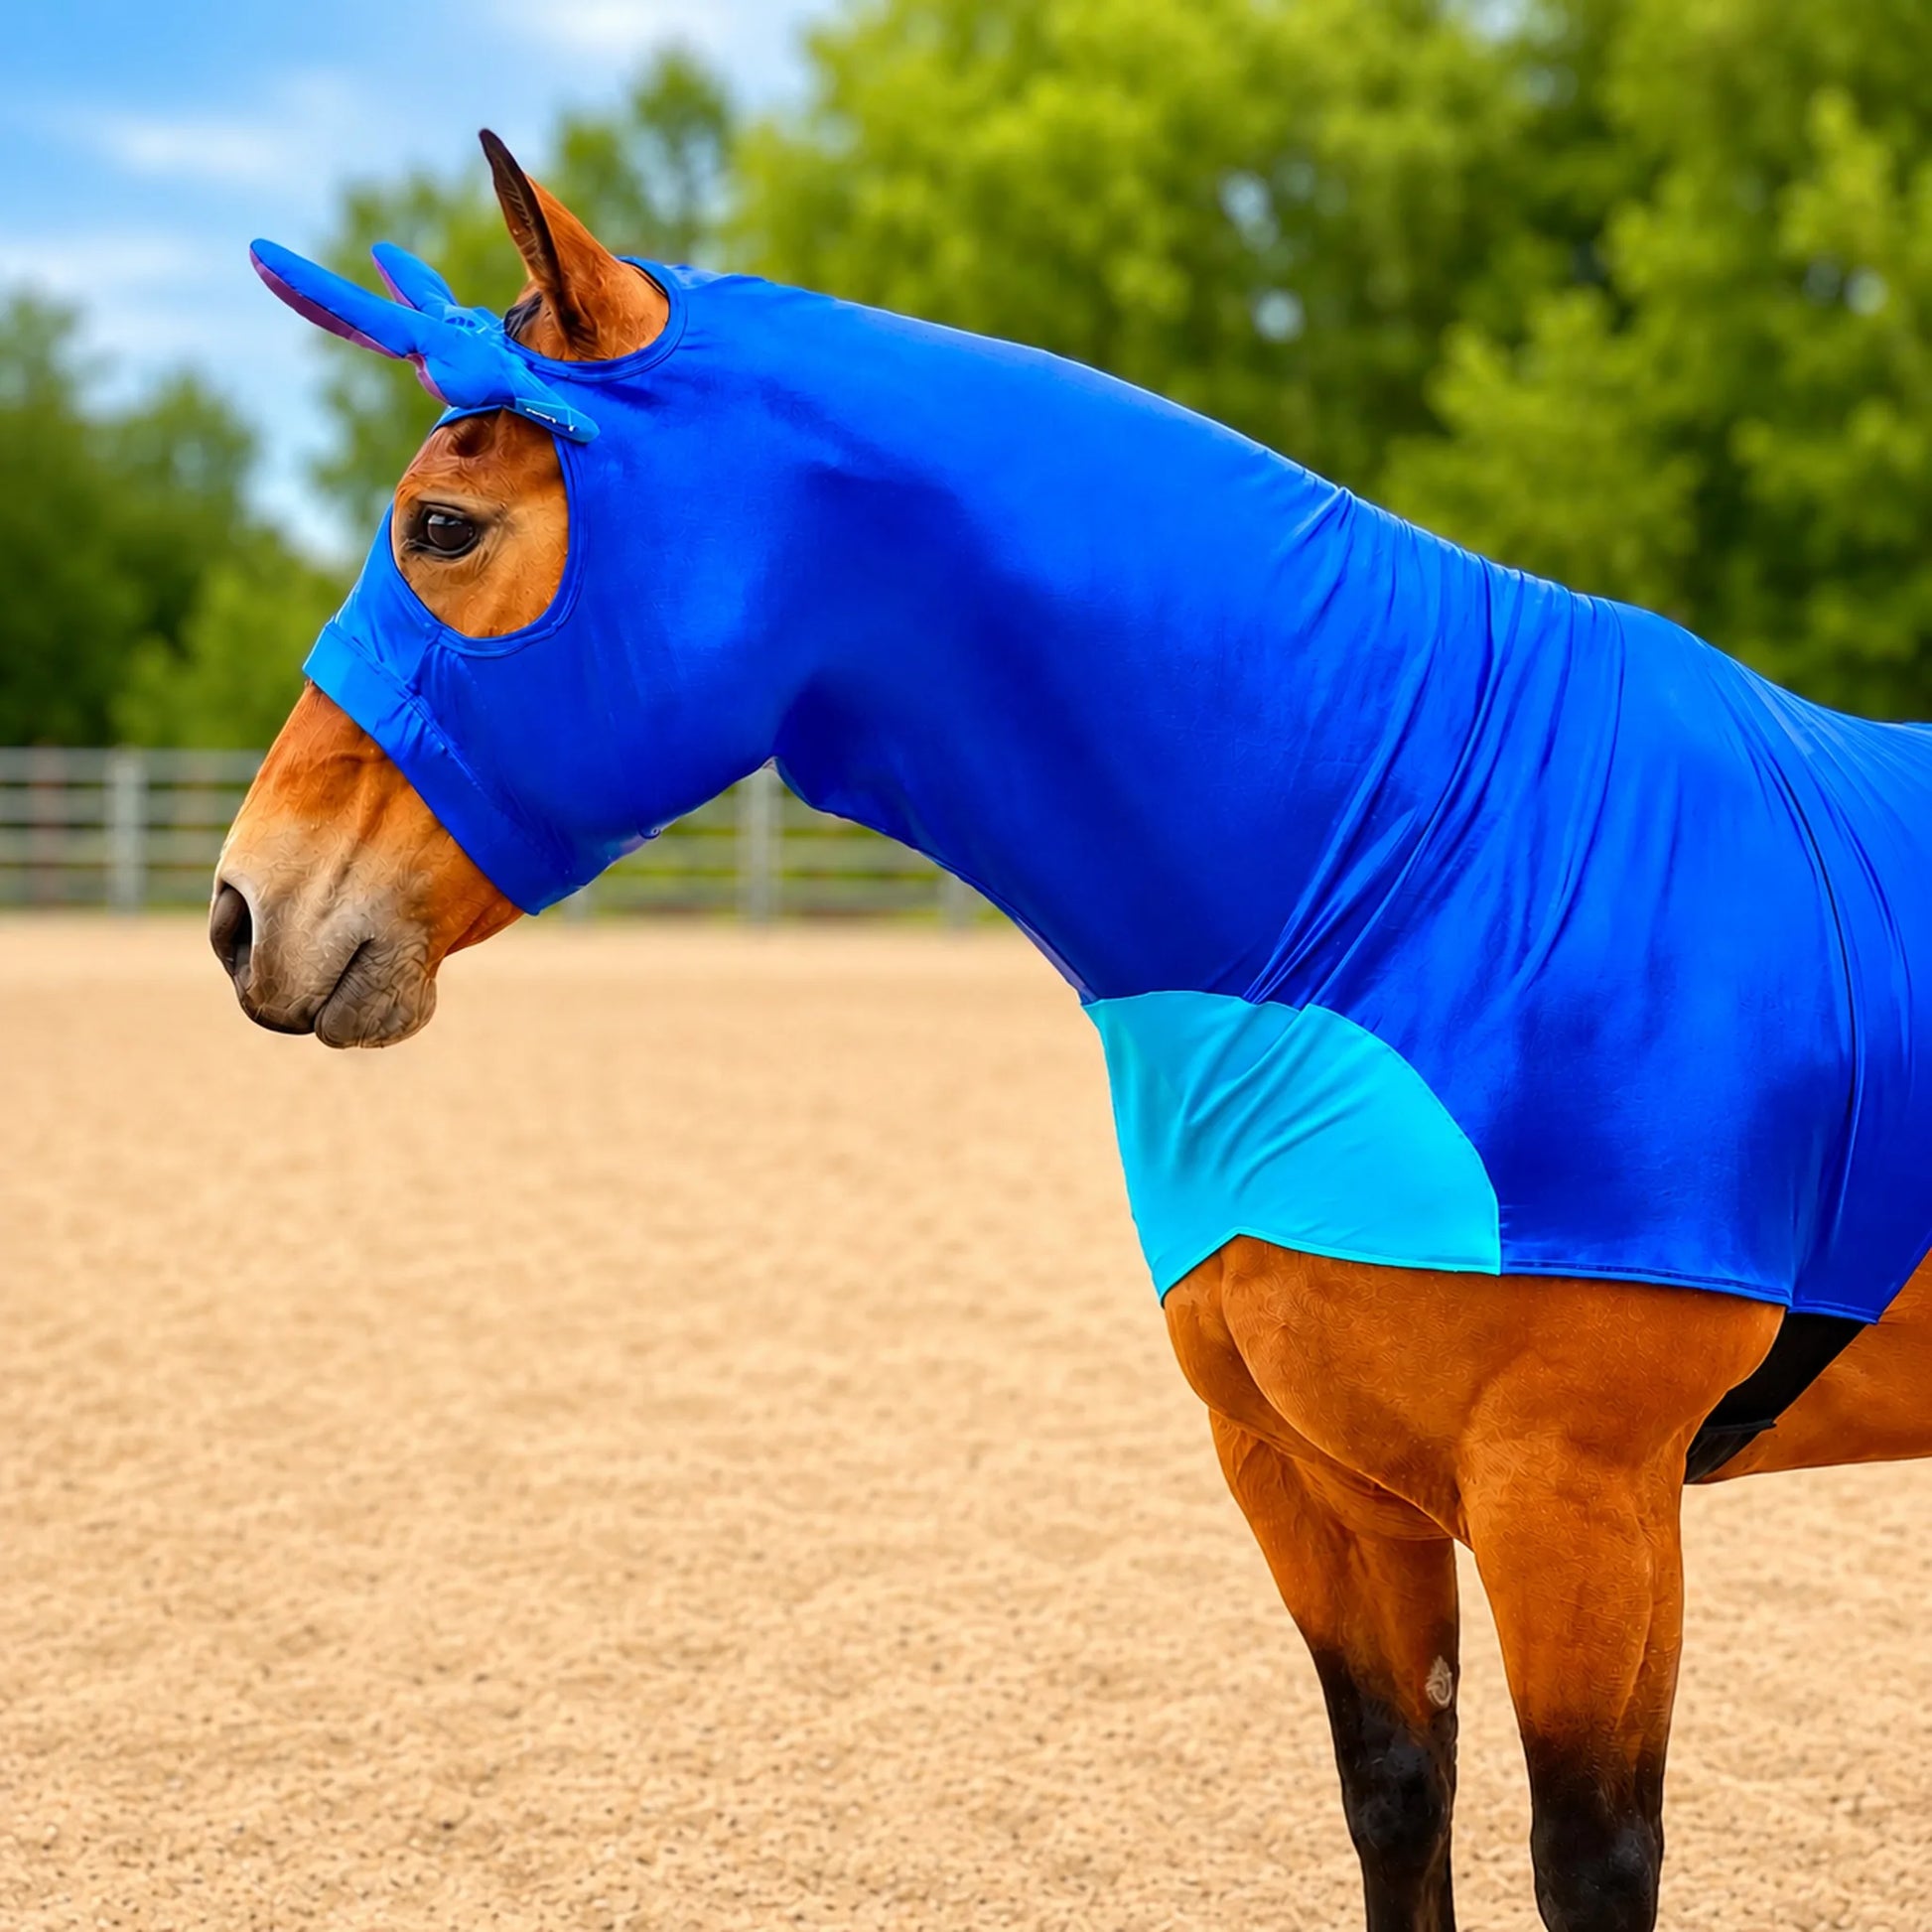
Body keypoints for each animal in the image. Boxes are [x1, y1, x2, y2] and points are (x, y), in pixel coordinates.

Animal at [213, 135, 1932, 1932]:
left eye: (443, 525)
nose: (243, 910)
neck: (1428, 873)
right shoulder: (1314, 1481)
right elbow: (1399, 1799)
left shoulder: (1579, 1497)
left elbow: (1589, 1862)